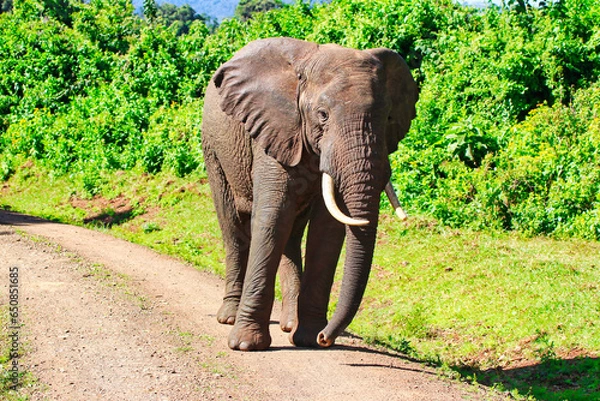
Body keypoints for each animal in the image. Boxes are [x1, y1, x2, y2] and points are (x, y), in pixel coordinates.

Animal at [202, 37, 418, 350]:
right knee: (233, 228)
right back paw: (229, 317)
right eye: (323, 115)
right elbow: (272, 219)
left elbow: (327, 230)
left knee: (291, 235)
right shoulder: (273, 130)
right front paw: (246, 345)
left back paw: (289, 325)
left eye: (387, 117)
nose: (325, 338)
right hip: (213, 150)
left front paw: (308, 339)